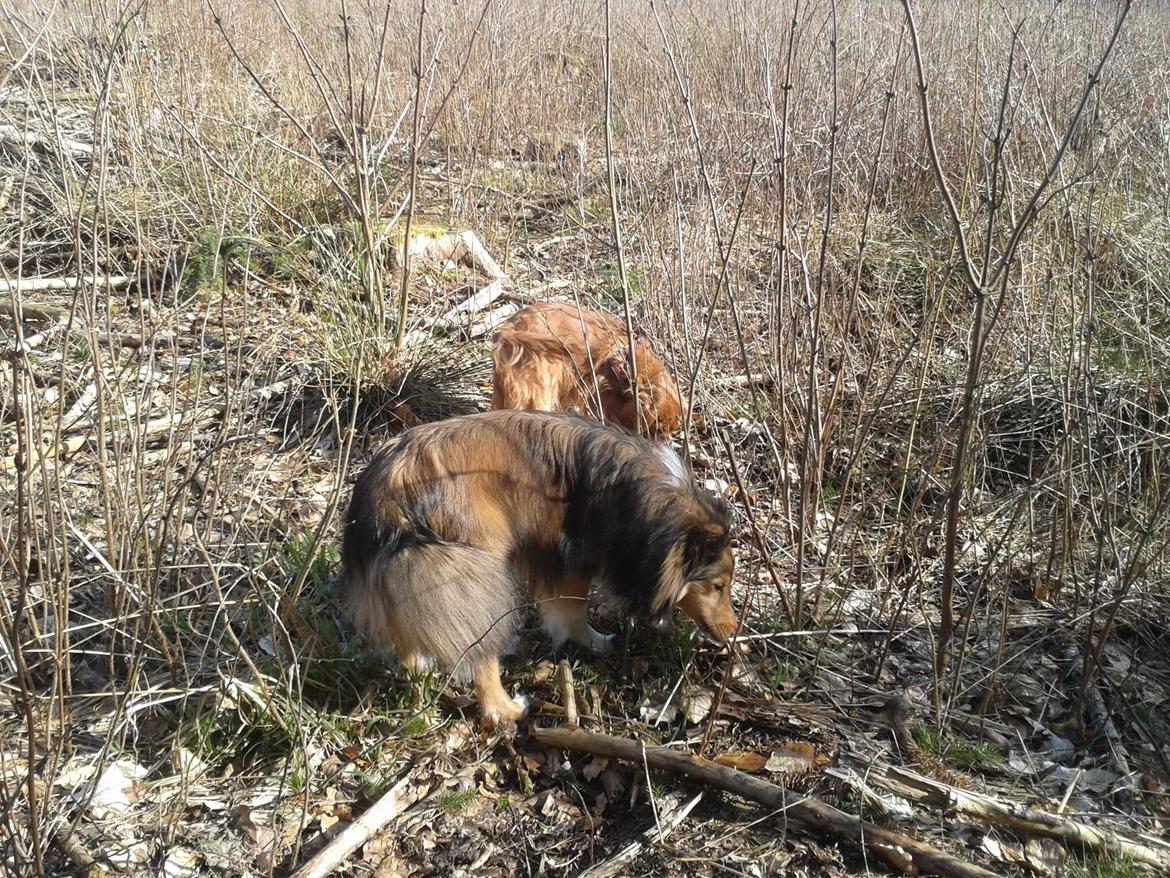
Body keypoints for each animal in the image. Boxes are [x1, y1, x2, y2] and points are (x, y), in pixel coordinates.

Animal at [341, 412, 734, 730]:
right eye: (718, 586)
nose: (732, 632)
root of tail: (392, 488)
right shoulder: (572, 559)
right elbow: (574, 610)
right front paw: (595, 641)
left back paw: (420, 684)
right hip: (474, 574)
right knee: (480, 656)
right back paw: (507, 709)